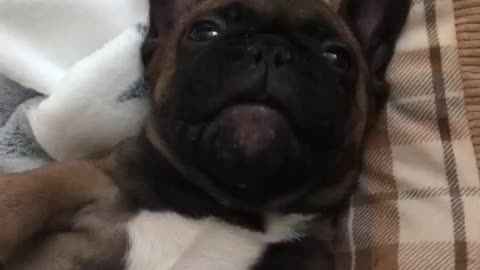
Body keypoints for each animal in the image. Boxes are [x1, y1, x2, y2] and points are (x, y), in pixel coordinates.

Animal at [0, 0, 410, 268]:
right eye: (204, 31)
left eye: (337, 57)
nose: (271, 49)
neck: (228, 207)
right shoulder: (88, 180)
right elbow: (26, 197)